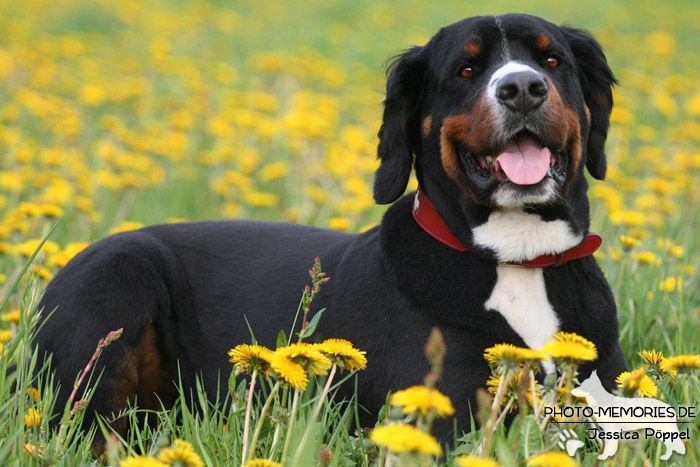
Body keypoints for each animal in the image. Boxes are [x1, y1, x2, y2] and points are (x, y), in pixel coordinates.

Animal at [35, 12, 628, 446]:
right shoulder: (446, 420)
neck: (519, 259)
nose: (523, 87)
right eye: (466, 70)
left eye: (551, 59)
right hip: (118, 280)